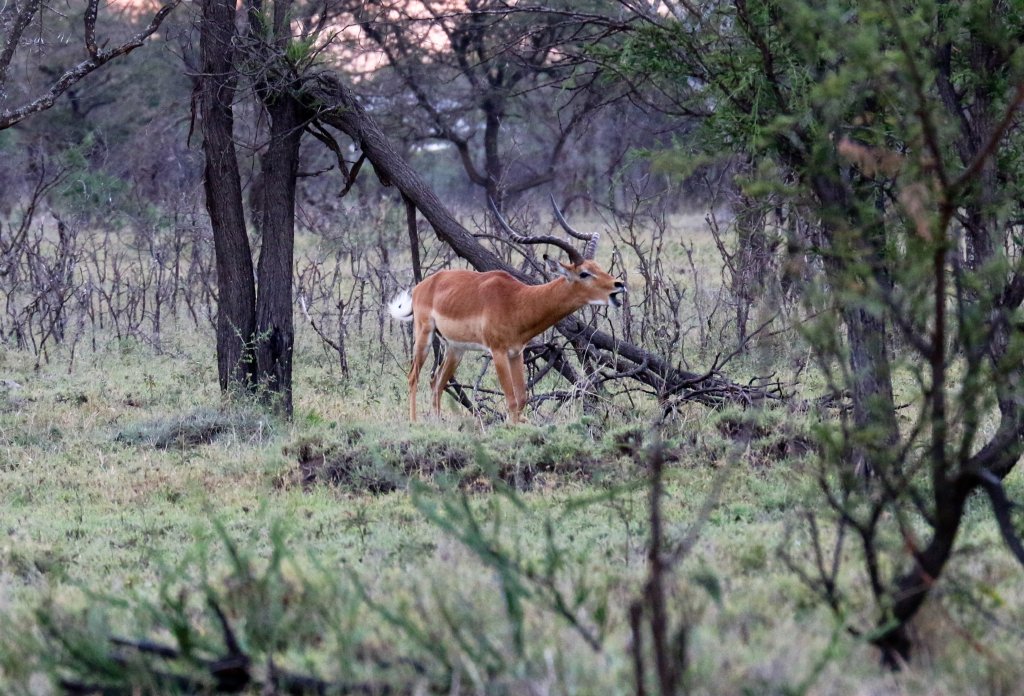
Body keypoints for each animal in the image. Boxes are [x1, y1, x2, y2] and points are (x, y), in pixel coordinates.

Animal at [388, 196, 626, 423]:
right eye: (584, 273)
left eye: (599, 267)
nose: (619, 284)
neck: (518, 301)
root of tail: (423, 285)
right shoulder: (498, 353)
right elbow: (511, 400)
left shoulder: (516, 353)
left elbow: (521, 398)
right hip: (424, 335)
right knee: (413, 377)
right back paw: (415, 422)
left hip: (455, 348)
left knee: (436, 382)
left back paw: (438, 423)